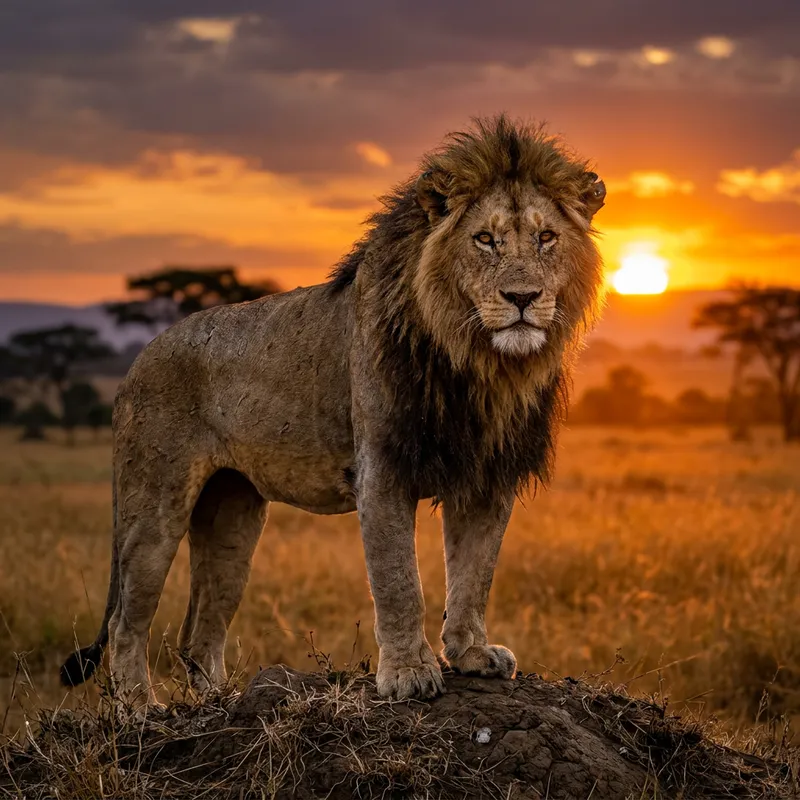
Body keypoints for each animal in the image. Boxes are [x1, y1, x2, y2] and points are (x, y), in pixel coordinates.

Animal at [60, 116, 606, 706]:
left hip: (232, 513)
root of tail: (136, 362)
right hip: (155, 504)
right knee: (126, 622)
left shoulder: (487, 475)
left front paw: (471, 655)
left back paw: (223, 702)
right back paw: (141, 710)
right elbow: (399, 580)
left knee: (198, 632)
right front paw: (409, 674)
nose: (522, 297)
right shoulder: (382, 468)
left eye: (546, 238)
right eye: (485, 239)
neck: (479, 362)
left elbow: (474, 573)